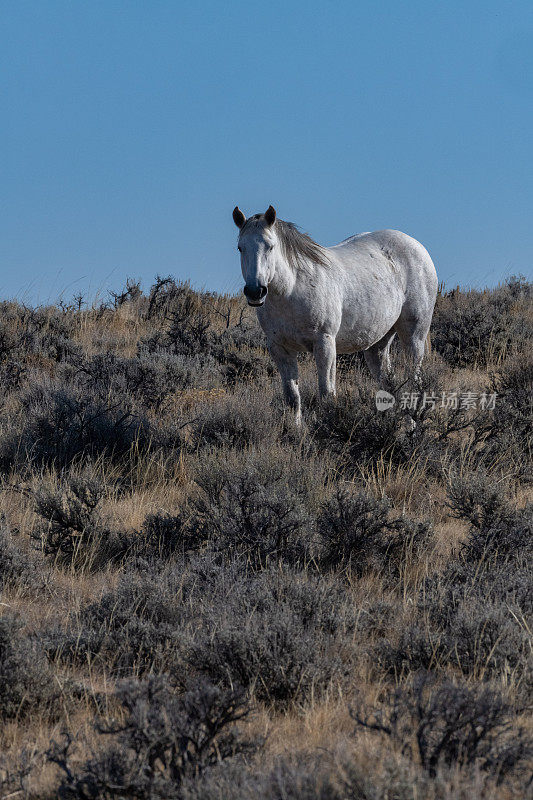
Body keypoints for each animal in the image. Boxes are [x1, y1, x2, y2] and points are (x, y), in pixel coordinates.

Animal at [233, 205, 436, 424]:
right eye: (240, 248)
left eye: (270, 246)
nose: (255, 291)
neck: (292, 289)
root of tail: (417, 247)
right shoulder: (280, 348)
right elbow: (292, 398)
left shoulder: (324, 343)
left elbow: (326, 394)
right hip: (378, 344)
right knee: (388, 384)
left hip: (414, 336)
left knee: (414, 383)